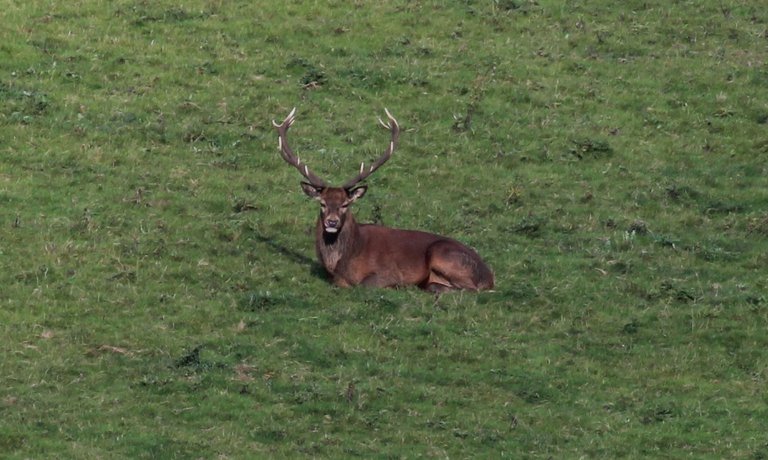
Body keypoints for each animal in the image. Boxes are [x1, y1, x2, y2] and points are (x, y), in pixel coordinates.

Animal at [272, 108, 496, 292]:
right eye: (322, 203)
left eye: (345, 204)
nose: (332, 222)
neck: (341, 263)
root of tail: (489, 277)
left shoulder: (388, 272)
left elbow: (364, 285)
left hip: (443, 254)